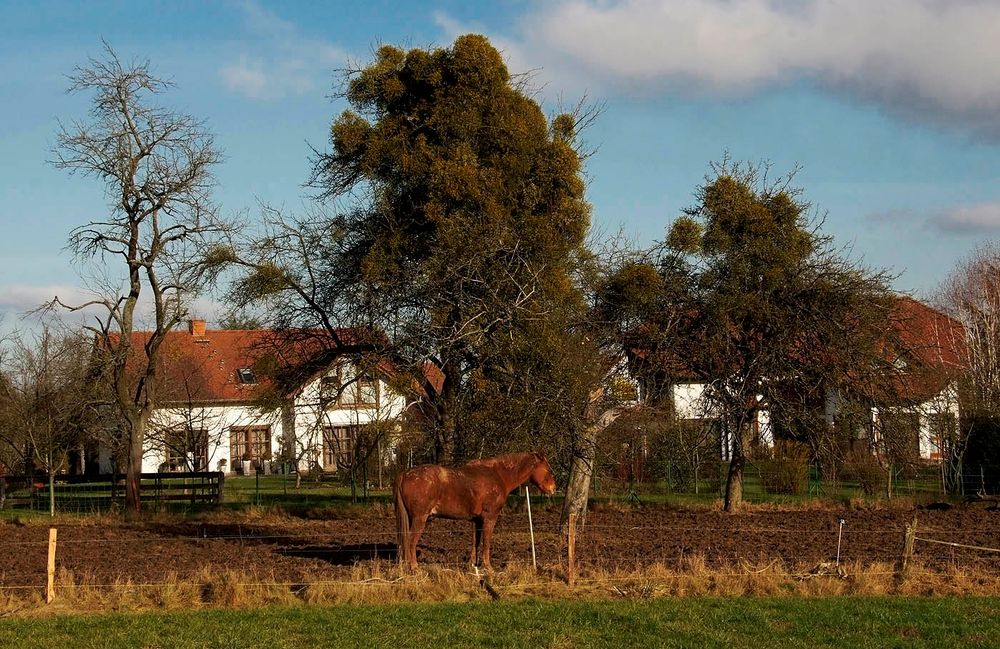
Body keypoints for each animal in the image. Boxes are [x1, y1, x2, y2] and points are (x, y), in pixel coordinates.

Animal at [394, 450, 560, 568]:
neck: (498, 475)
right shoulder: (490, 518)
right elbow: (486, 542)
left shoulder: (476, 520)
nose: (553, 489)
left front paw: (472, 565)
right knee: (410, 541)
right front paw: (488, 567)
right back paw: (415, 568)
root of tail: (405, 473)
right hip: (420, 519)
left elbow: (476, 542)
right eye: (548, 470)